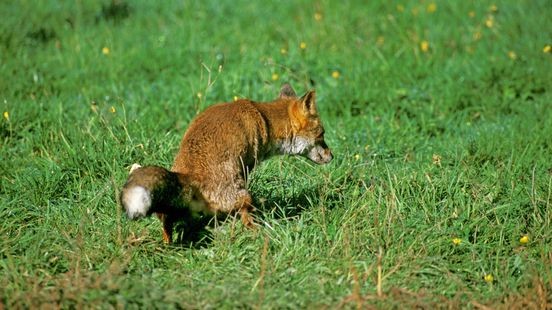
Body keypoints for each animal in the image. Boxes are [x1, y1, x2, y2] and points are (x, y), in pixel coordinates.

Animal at [120, 83, 332, 243]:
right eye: (322, 135)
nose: (332, 156)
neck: (264, 119)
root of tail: (189, 175)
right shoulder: (246, 165)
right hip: (244, 195)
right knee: (245, 217)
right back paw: (259, 231)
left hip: (173, 208)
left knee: (166, 221)